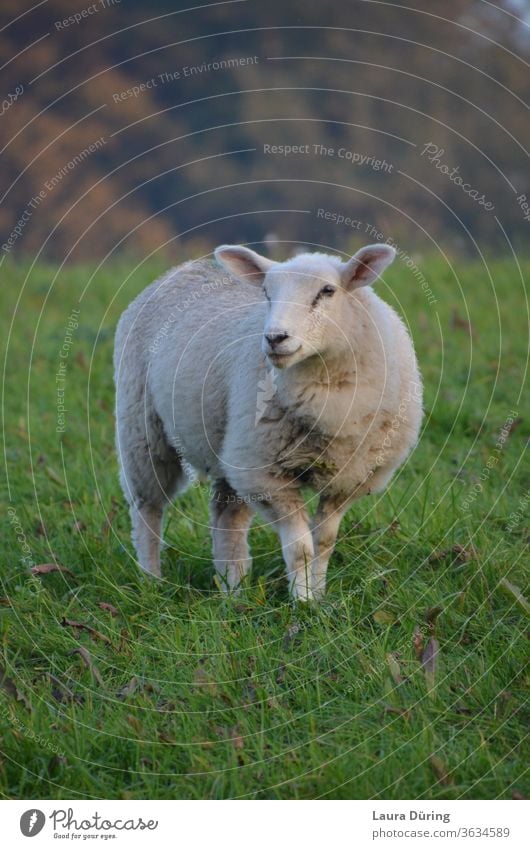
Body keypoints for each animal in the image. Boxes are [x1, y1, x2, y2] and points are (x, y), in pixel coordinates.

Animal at [114, 243, 420, 604]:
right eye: (266, 293)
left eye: (327, 291)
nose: (275, 338)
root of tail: (184, 268)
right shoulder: (267, 476)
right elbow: (301, 548)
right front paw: (302, 603)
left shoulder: (348, 479)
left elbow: (324, 543)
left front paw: (319, 597)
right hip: (142, 427)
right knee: (147, 507)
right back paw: (152, 581)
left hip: (230, 447)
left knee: (227, 518)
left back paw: (232, 590)